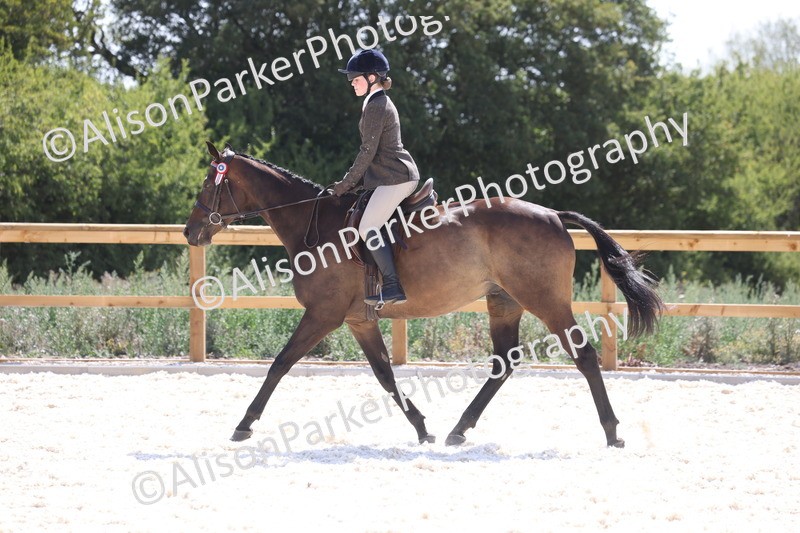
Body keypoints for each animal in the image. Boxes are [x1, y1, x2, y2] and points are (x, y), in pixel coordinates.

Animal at [183, 141, 664, 448]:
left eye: (209, 183)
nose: (190, 232)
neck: (313, 224)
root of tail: (553, 215)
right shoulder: (358, 319)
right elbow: (384, 375)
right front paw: (421, 428)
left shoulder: (323, 314)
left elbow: (279, 364)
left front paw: (244, 424)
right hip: (503, 302)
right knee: (504, 364)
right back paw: (458, 430)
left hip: (545, 301)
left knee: (583, 357)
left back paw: (612, 432)